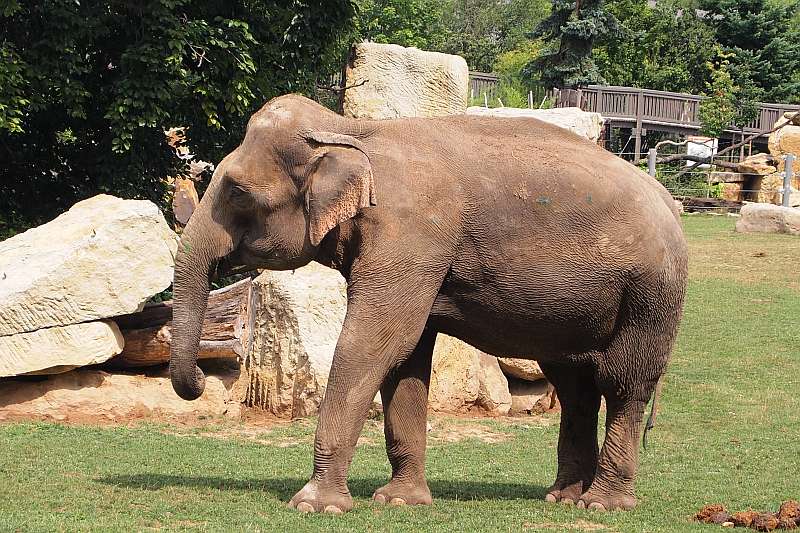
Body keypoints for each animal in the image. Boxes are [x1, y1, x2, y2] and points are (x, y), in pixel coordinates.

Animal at [169, 93, 688, 512]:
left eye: (237, 191)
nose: (201, 380)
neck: (352, 130)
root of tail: (669, 199)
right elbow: (407, 360)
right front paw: (400, 501)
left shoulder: (412, 236)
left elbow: (374, 344)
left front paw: (316, 506)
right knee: (574, 382)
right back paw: (563, 498)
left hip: (650, 294)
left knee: (623, 383)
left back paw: (603, 505)